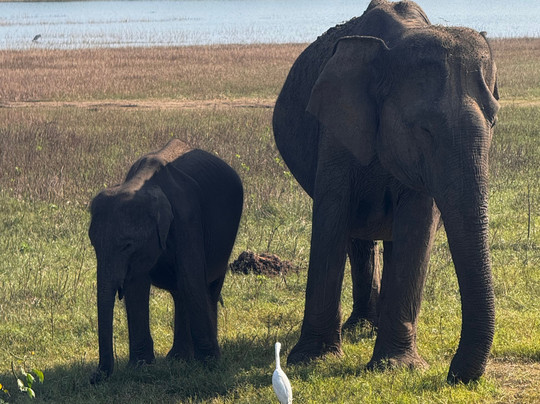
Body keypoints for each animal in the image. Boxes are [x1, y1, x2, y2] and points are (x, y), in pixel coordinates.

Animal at [88, 139, 243, 383]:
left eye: (127, 245)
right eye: (93, 244)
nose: (94, 377)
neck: (141, 183)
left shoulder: (187, 219)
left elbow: (191, 280)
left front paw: (210, 366)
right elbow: (136, 286)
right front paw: (141, 366)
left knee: (206, 286)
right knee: (181, 292)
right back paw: (178, 358)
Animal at [272, 0, 499, 383]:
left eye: (494, 120)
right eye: (423, 129)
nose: (454, 375)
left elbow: (417, 223)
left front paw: (395, 366)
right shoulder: (337, 126)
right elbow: (332, 214)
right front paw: (312, 359)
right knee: (356, 236)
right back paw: (362, 327)